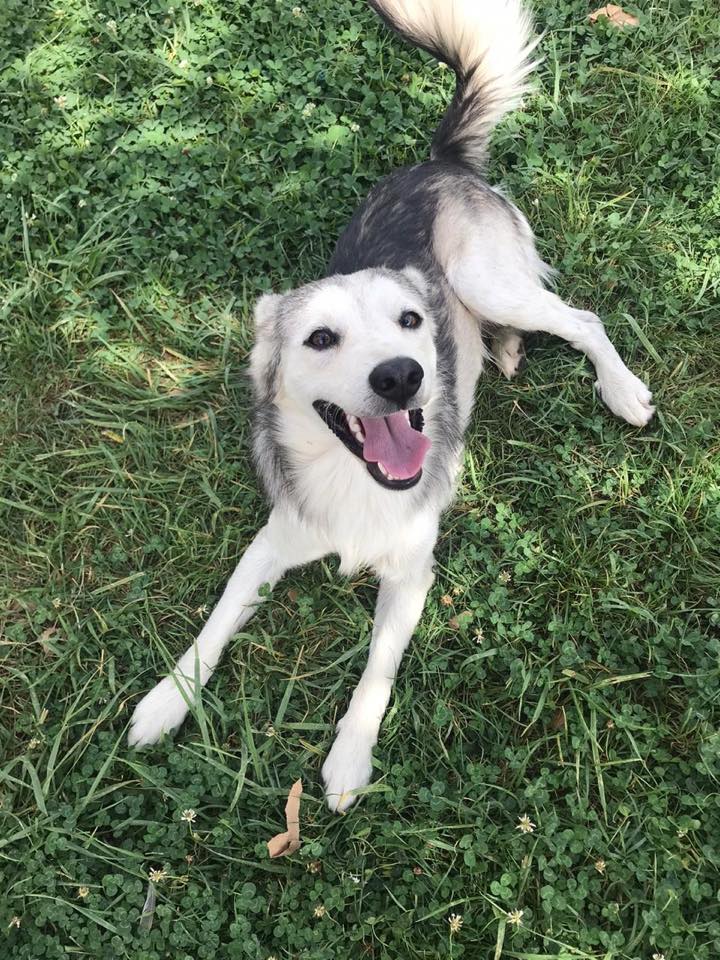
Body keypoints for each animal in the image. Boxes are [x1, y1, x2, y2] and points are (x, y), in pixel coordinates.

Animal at [126, 0, 656, 808]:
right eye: (320, 337)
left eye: (409, 321)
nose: (402, 376)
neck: (356, 481)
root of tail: (441, 161)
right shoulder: (270, 545)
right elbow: (212, 627)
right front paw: (167, 699)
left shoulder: (411, 575)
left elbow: (376, 673)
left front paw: (350, 758)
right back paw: (504, 352)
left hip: (486, 282)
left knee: (584, 319)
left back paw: (619, 388)